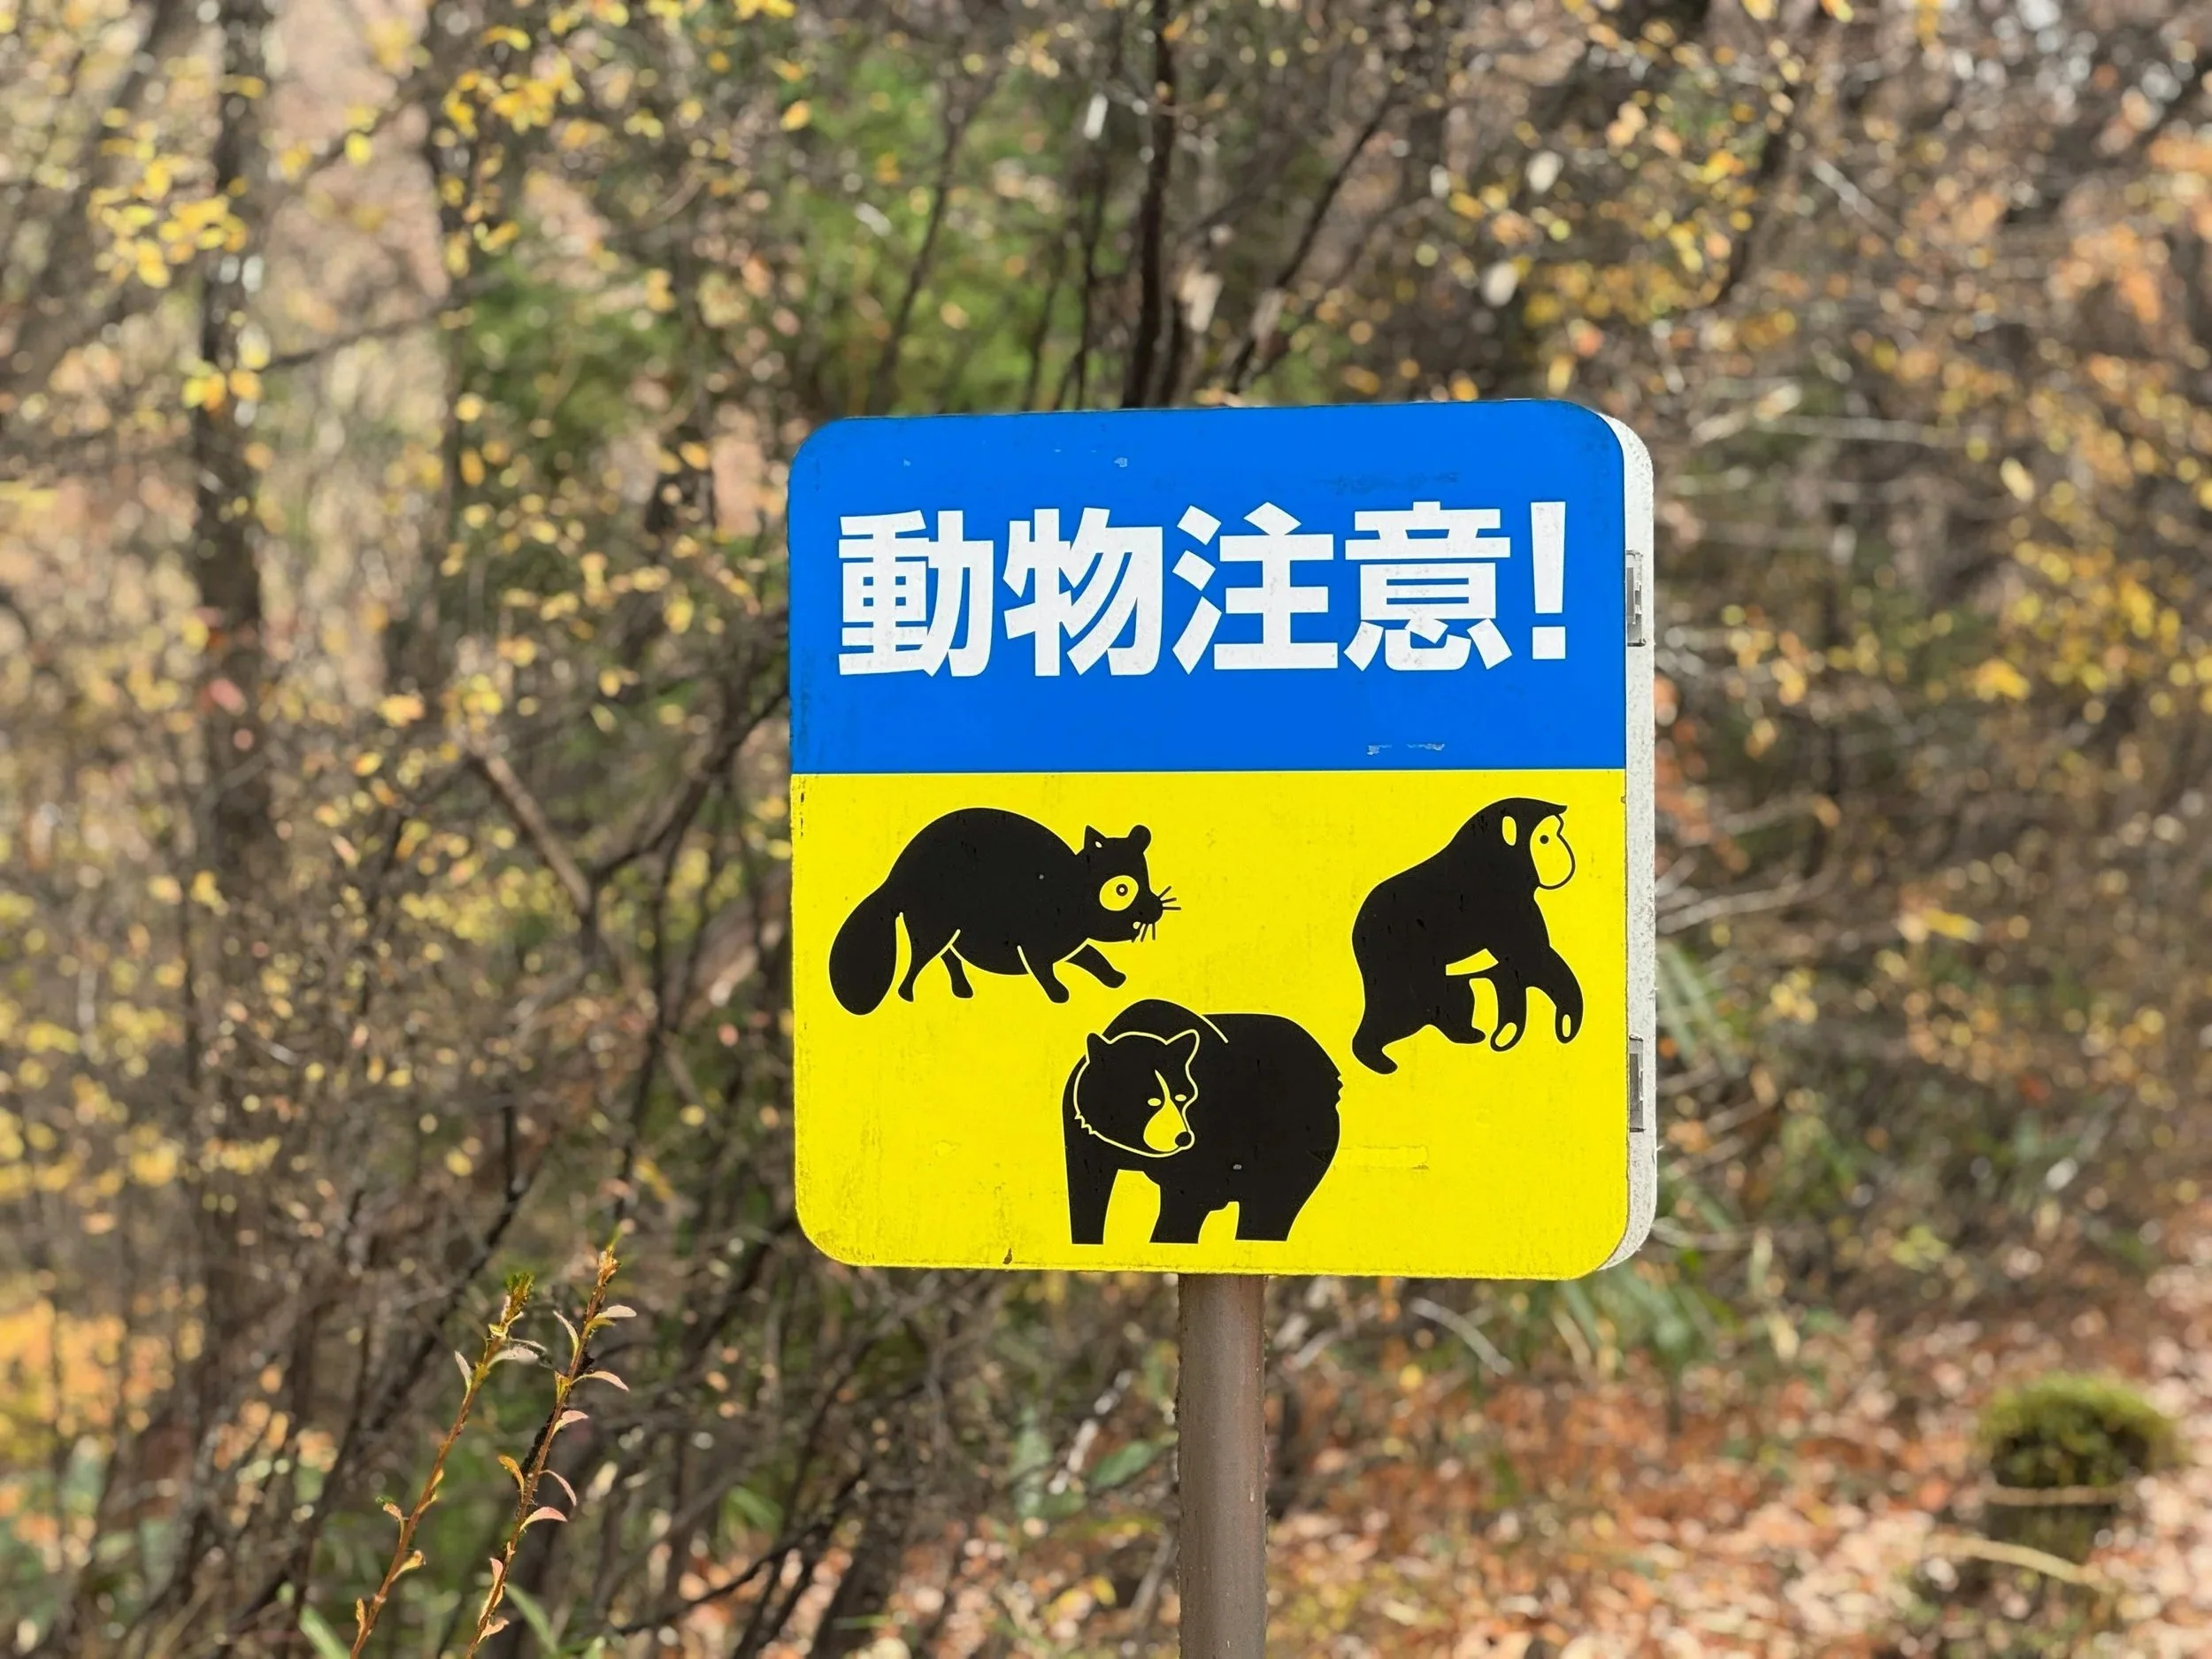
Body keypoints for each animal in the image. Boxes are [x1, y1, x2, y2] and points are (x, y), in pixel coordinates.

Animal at [1062, 998, 1341, 1246]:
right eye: (1151, 1100)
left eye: (1182, 1095)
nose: (1183, 1137)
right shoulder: (1086, 1133)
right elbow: (1088, 1188)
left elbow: (1188, 1196)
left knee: (1273, 1201)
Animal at [1350, 796, 1583, 1075]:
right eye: (1545, 838)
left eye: (1558, 832)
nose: (1565, 852)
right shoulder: (1504, 905)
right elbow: (1533, 958)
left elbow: (1514, 970)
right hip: (1398, 963)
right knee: (1401, 1007)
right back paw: (1374, 1057)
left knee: (1451, 994)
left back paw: (1464, 1034)